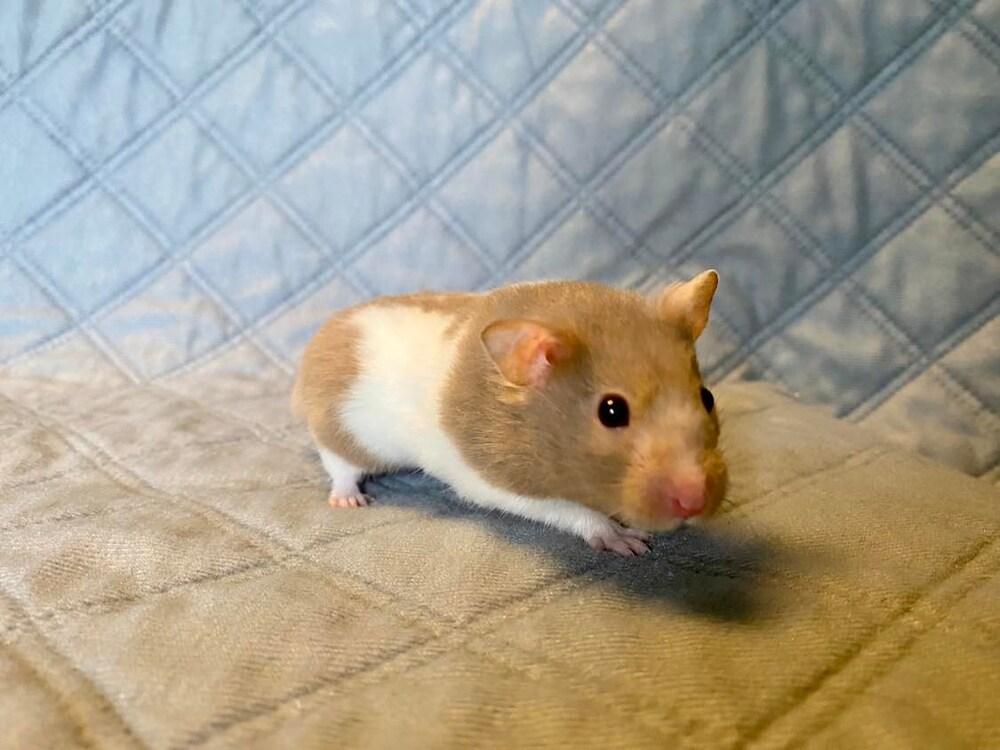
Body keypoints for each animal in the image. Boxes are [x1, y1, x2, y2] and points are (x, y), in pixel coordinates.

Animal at [291, 270, 727, 556]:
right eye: (612, 411)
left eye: (707, 397)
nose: (696, 501)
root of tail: (318, 343)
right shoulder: (498, 482)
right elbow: (570, 509)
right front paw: (626, 541)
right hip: (340, 431)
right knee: (339, 466)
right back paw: (349, 499)